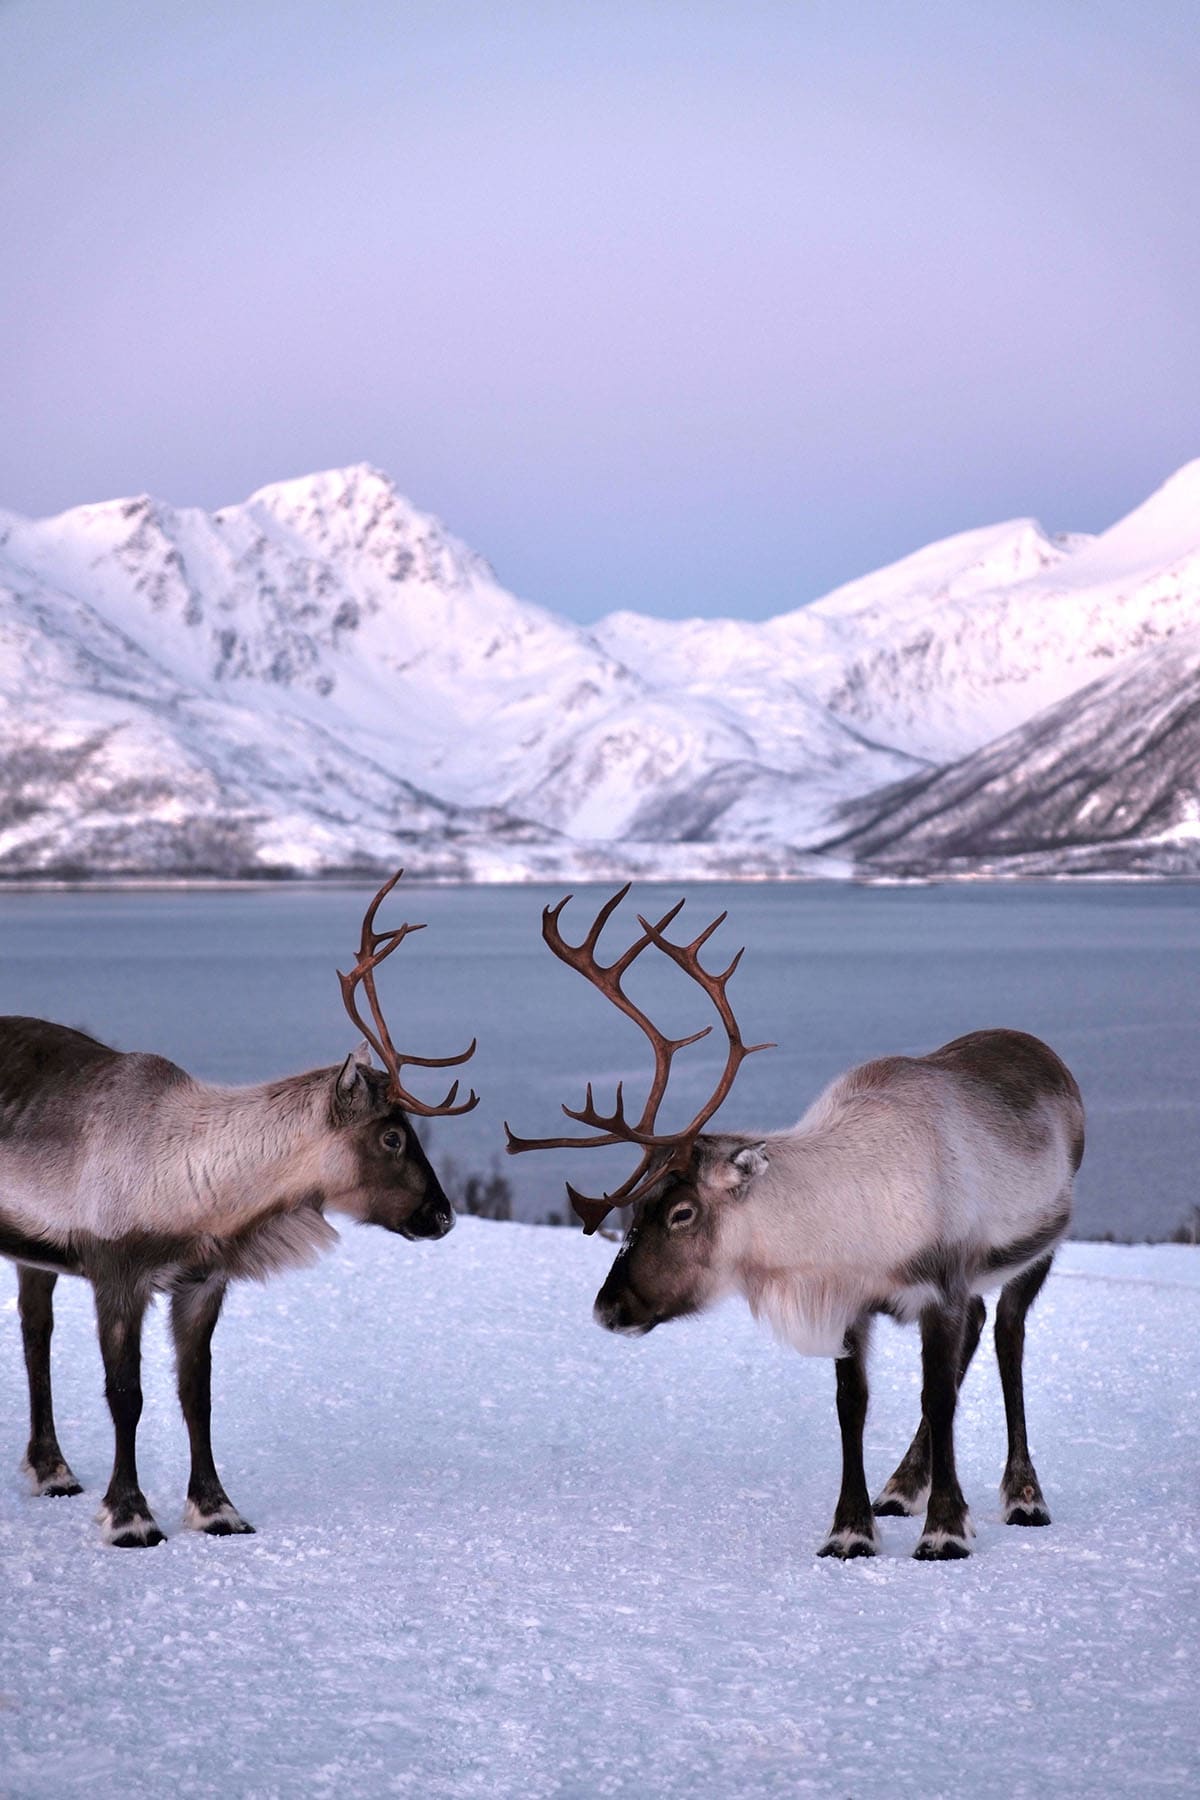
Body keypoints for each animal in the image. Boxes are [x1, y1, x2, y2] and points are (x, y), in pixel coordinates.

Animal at [0, 870, 477, 1548]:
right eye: (391, 1136)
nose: (442, 1217)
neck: (196, 1186)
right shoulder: (117, 1272)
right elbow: (126, 1394)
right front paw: (131, 1517)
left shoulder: (203, 1281)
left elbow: (196, 1393)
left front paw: (216, 1509)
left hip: (33, 1254)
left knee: (34, 1330)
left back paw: (52, 1471)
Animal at [506, 886, 1084, 1561]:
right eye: (635, 1206)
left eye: (681, 1212)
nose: (607, 1308)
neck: (845, 1221)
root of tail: (1048, 1055)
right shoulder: (852, 1302)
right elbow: (851, 1403)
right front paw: (850, 1530)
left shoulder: (940, 1285)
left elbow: (937, 1396)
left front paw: (945, 1530)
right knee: (979, 1327)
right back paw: (900, 1487)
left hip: (1039, 1249)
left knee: (1007, 1337)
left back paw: (1024, 1496)